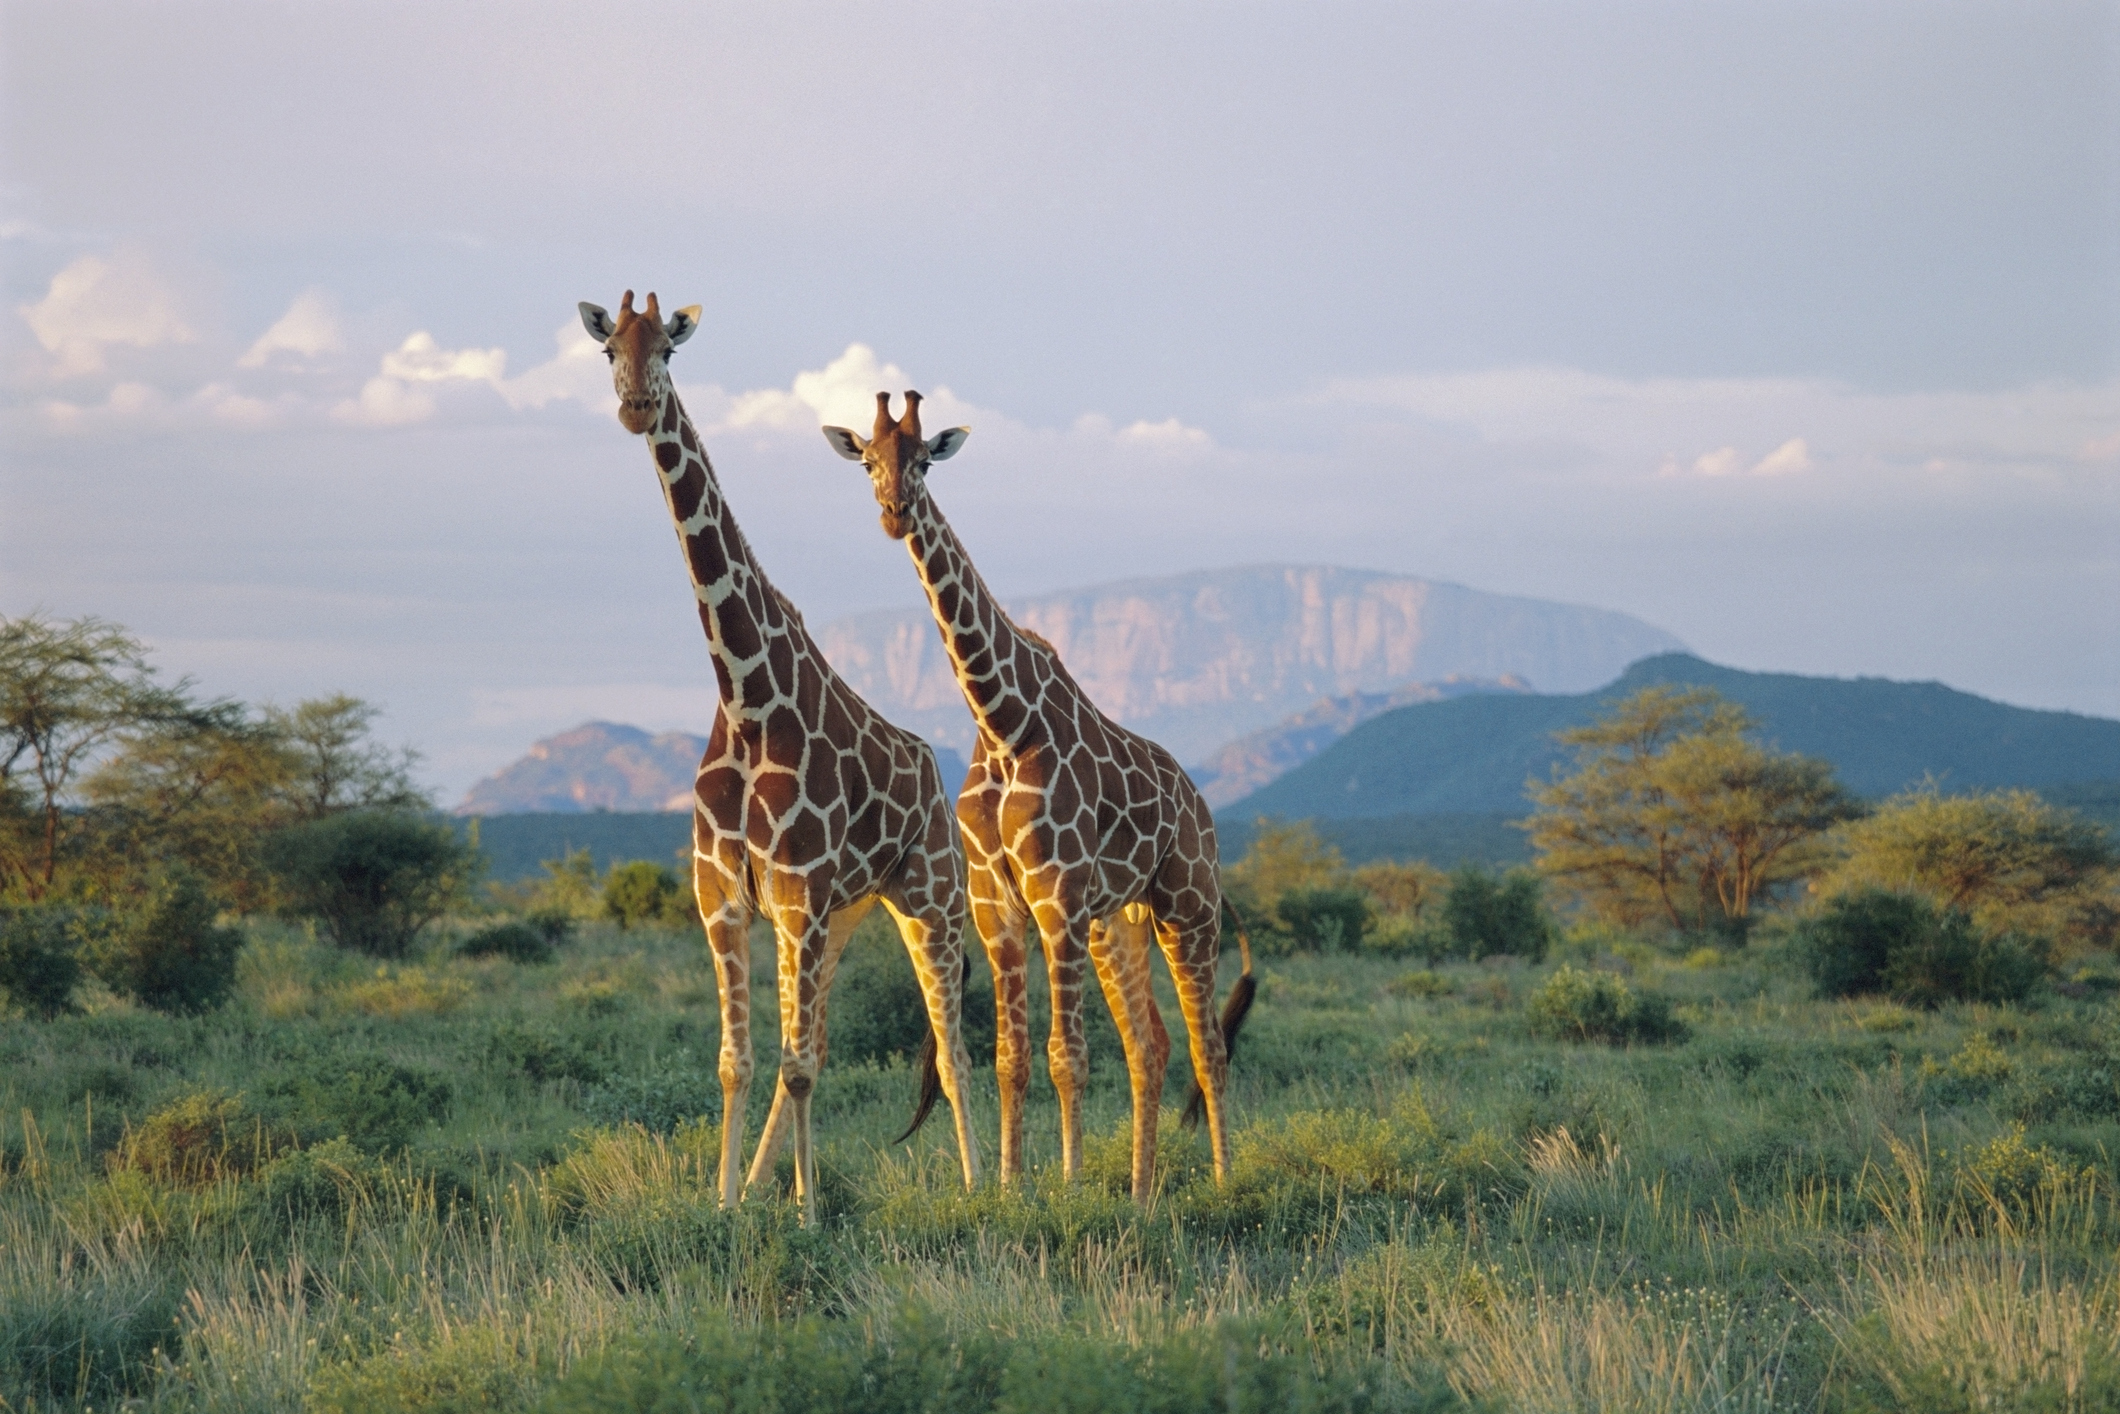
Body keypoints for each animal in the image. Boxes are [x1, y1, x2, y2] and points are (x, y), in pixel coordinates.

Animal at [581, 294, 981, 1222]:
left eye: (669, 351)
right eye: (610, 348)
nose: (635, 406)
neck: (747, 697)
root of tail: (932, 769)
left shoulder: (797, 897)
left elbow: (796, 1066)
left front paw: (806, 1216)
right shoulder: (726, 897)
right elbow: (743, 1061)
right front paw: (729, 1206)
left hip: (928, 898)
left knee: (952, 1051)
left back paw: (992, 1186)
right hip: (845, 917)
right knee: (823, 1044)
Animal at [824, 391, 1255, 1202]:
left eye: (923, 458)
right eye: (867, 460)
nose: (894, 511)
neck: (1002, 721)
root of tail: (1199, 803)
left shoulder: (1056, 899)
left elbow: (1067, 1056)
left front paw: (1071, 1185)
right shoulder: (998, 907)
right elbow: (1012, 1058)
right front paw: (1008, 1186)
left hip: (1187, 906)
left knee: (1208, 1045)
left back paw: (1218, 1181)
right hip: (1118, 922)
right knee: (1150, 1043)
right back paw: (1142, 1195)